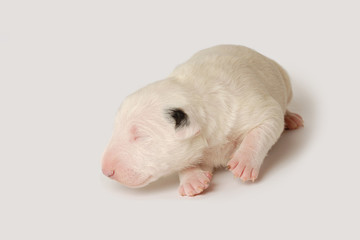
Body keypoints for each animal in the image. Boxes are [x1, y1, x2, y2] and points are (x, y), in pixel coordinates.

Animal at [101, 45, 304, 197]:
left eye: (139, 136)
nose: (105, 171)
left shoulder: (253, 105)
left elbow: (267, 123)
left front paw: (243, 163)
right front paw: (192, 180)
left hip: (285, 79)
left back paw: (291, 118)